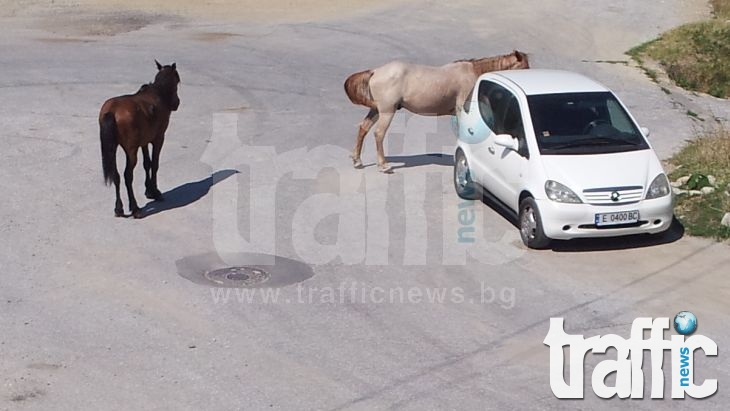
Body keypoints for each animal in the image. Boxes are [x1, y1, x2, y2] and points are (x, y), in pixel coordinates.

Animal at [98, 60, 179, 219]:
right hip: (131, 150)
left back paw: (119, 208)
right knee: (127, 175)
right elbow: (154, 164)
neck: (158, 94)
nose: (177, 103)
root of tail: (112, 111)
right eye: (178, 81)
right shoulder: (159, 138)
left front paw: (149, 190)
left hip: (112, 148)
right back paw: (135, 208)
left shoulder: (144, 142)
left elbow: (146, 163)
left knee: (116, 175)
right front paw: (155, 192)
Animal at [344, 50, 528, 172]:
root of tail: (375, 72)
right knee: (379, 134)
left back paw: (357, 160)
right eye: (523, 67)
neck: (474, 74)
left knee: (363, 128)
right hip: (387, 111)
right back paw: (383, 165)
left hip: (376, 110)